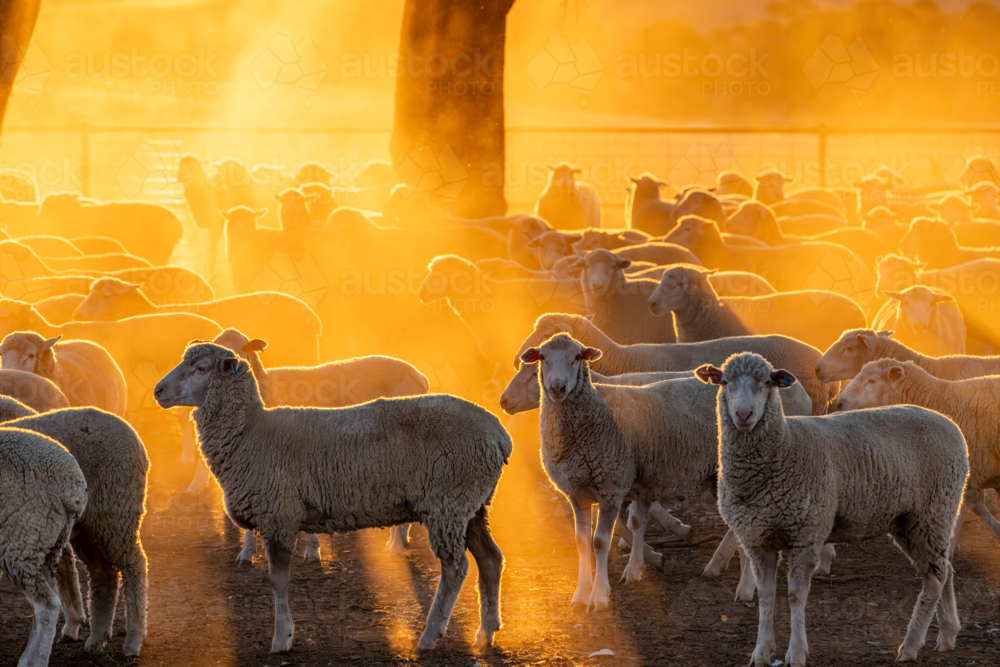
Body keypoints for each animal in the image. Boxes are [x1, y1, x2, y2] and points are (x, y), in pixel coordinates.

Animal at [154, 342, 510, 652]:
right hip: (472, 506)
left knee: (456, 568)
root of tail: (498, 434)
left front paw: (281, 639)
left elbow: (278, 582)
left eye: (200, 368)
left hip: (448, 503)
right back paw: (486, 632)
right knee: (490, 559)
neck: (252, 432)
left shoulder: (278, 516)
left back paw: (430, 635)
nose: (158, 391)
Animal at [697, 352, 967, 665]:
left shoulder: (806, 534)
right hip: (910, 521)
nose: (743, 415)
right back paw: (947, 635)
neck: (785, 447)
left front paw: (796, 653)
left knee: (935, 578)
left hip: (933, 512)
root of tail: (950, 424)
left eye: (766, 383)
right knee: (945, 569)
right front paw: (761, 652)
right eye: (724, 382)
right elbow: (766, 595)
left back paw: (910, 646)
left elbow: (795, 595)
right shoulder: (757, 538)